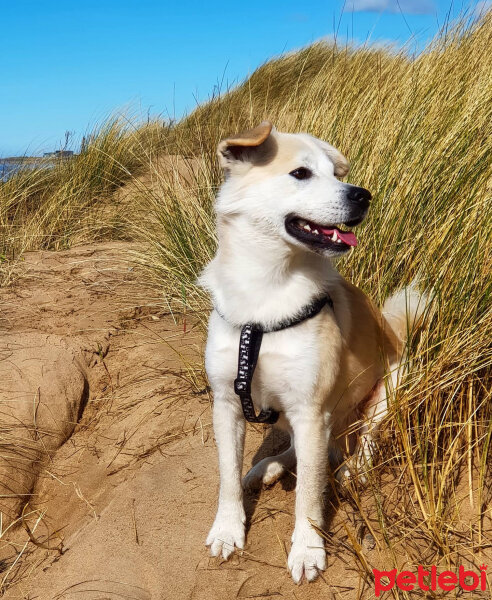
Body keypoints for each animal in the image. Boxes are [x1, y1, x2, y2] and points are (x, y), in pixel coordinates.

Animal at [200, 119, 426, 584]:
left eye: (336, 175)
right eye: (301, 174)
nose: (362, 194)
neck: (264, 294)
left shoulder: (310, 409)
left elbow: (308, 494)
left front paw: (307, 550)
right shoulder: (228, 403)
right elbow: (228, 477)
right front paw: (228, 530)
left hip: (389, 389)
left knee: (361, 442)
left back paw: (351, 468)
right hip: (296, 414)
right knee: (300, 452)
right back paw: (265, 468)